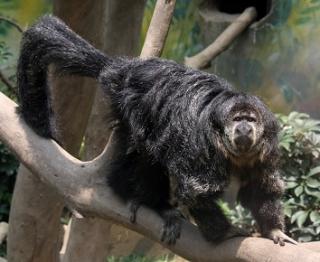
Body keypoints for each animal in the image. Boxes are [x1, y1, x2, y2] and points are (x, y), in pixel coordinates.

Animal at [18, 15, 298, 246]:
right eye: (237, 119)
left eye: (251, 119)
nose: (243, 127)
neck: (232, 152)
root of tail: (125, 69)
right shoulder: (203, 147)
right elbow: (197, 191)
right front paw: (225, 233)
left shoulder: (265, 148)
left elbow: (262, 187)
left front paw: (273, 231)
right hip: (131, 105)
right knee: (148, 152)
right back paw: (148, 201)